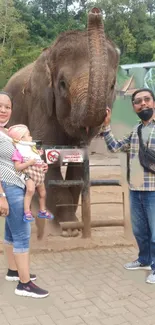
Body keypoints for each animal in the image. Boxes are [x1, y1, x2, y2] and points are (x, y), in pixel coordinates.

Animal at [3, 6, 120, 237]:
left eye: (111, 86)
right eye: (63, 84)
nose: (94, 11)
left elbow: (79, 166)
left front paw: (72, 225)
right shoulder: (39, 103)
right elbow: (46, 158)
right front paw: (68, 229)